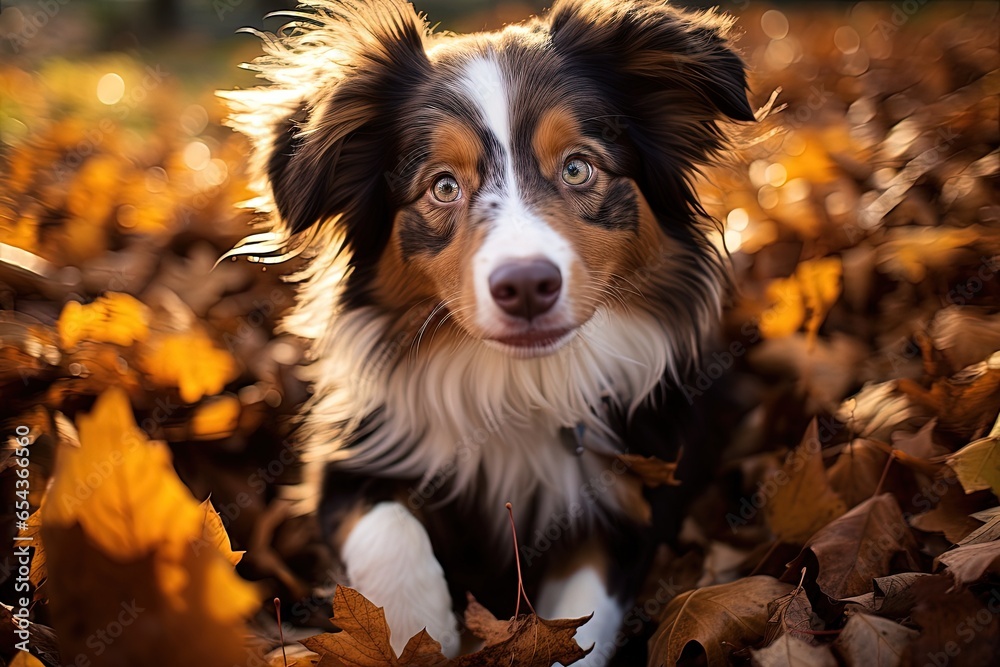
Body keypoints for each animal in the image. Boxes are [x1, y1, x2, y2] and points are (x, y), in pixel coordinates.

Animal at [227, 1, 752, 664]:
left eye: (578, 167)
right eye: (443, 185)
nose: (527, 285)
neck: (518, 384)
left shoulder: (628, 496)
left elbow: (580, 622)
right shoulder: (348, 455)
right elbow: (386, 529)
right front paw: (416, 632)